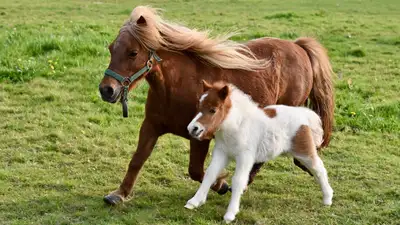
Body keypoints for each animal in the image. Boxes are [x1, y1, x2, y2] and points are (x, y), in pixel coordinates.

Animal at [98, 5, 332, 206]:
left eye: (133, 52)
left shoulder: (199, 135)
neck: (177, 85)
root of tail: (299, 47)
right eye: (111, 49)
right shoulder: (151, 126)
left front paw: (221, 184)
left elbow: (196, 170)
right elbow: (137, 160)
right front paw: (118, 194)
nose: (106, 90)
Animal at [186, 81, 332, 223]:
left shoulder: (245, 157)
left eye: (213, 110)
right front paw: (194, 202)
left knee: (319, 169)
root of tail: (303, 114)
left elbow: (238, 180)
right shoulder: (222, 153)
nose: (193, 128)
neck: (237, 126)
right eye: (199, 106)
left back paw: (327, 198)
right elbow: (210, 174)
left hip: (304, 152)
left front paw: (230, 214)